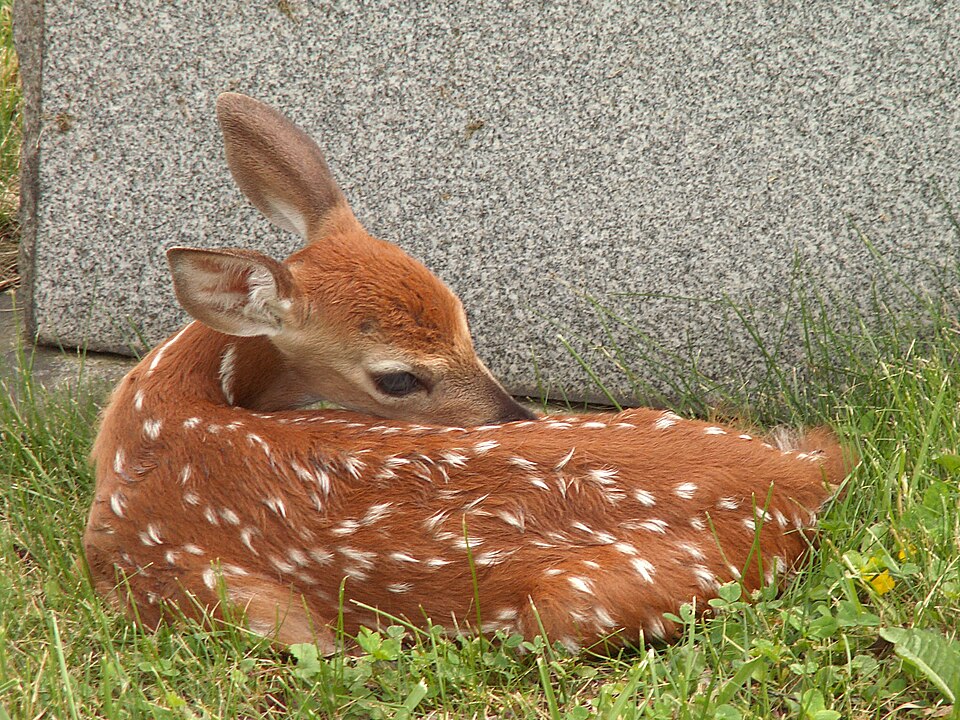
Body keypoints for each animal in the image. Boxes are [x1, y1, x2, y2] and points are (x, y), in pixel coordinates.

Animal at [84, 92, 851, 654]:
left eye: (464, 320)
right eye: (398, 379)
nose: (519, 419)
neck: (156, 418)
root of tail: (799, 479)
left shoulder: (180, 578)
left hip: (574, 610)